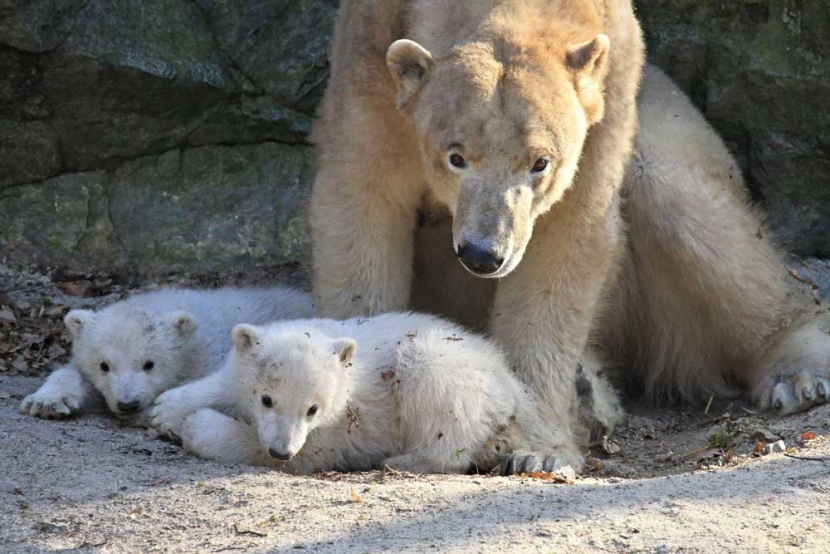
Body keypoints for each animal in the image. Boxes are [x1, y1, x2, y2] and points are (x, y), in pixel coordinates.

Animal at [312, 0, 830, 466]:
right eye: (455, 157)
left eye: (540, 162)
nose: (483, 254)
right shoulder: (369, 70)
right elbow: (361, 213)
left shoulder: (606, 100)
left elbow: (565, 246)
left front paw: (535, 450)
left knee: (685, 207)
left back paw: (795, 375)